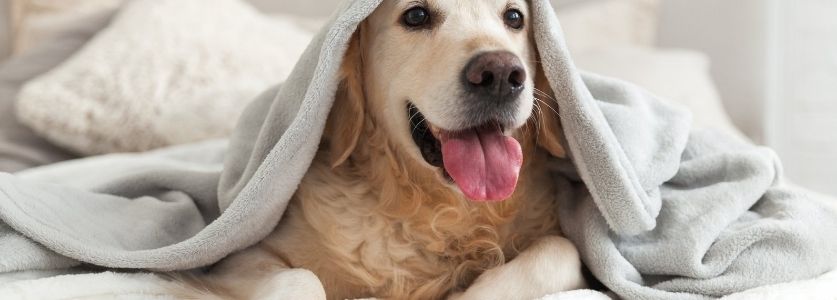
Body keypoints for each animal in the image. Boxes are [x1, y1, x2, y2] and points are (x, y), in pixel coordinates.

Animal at [174, 0, 584, 300]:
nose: (499, 74)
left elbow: (562, 251)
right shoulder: (237, 258)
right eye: (416, 15)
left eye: (514, 17)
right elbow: (300, 278)